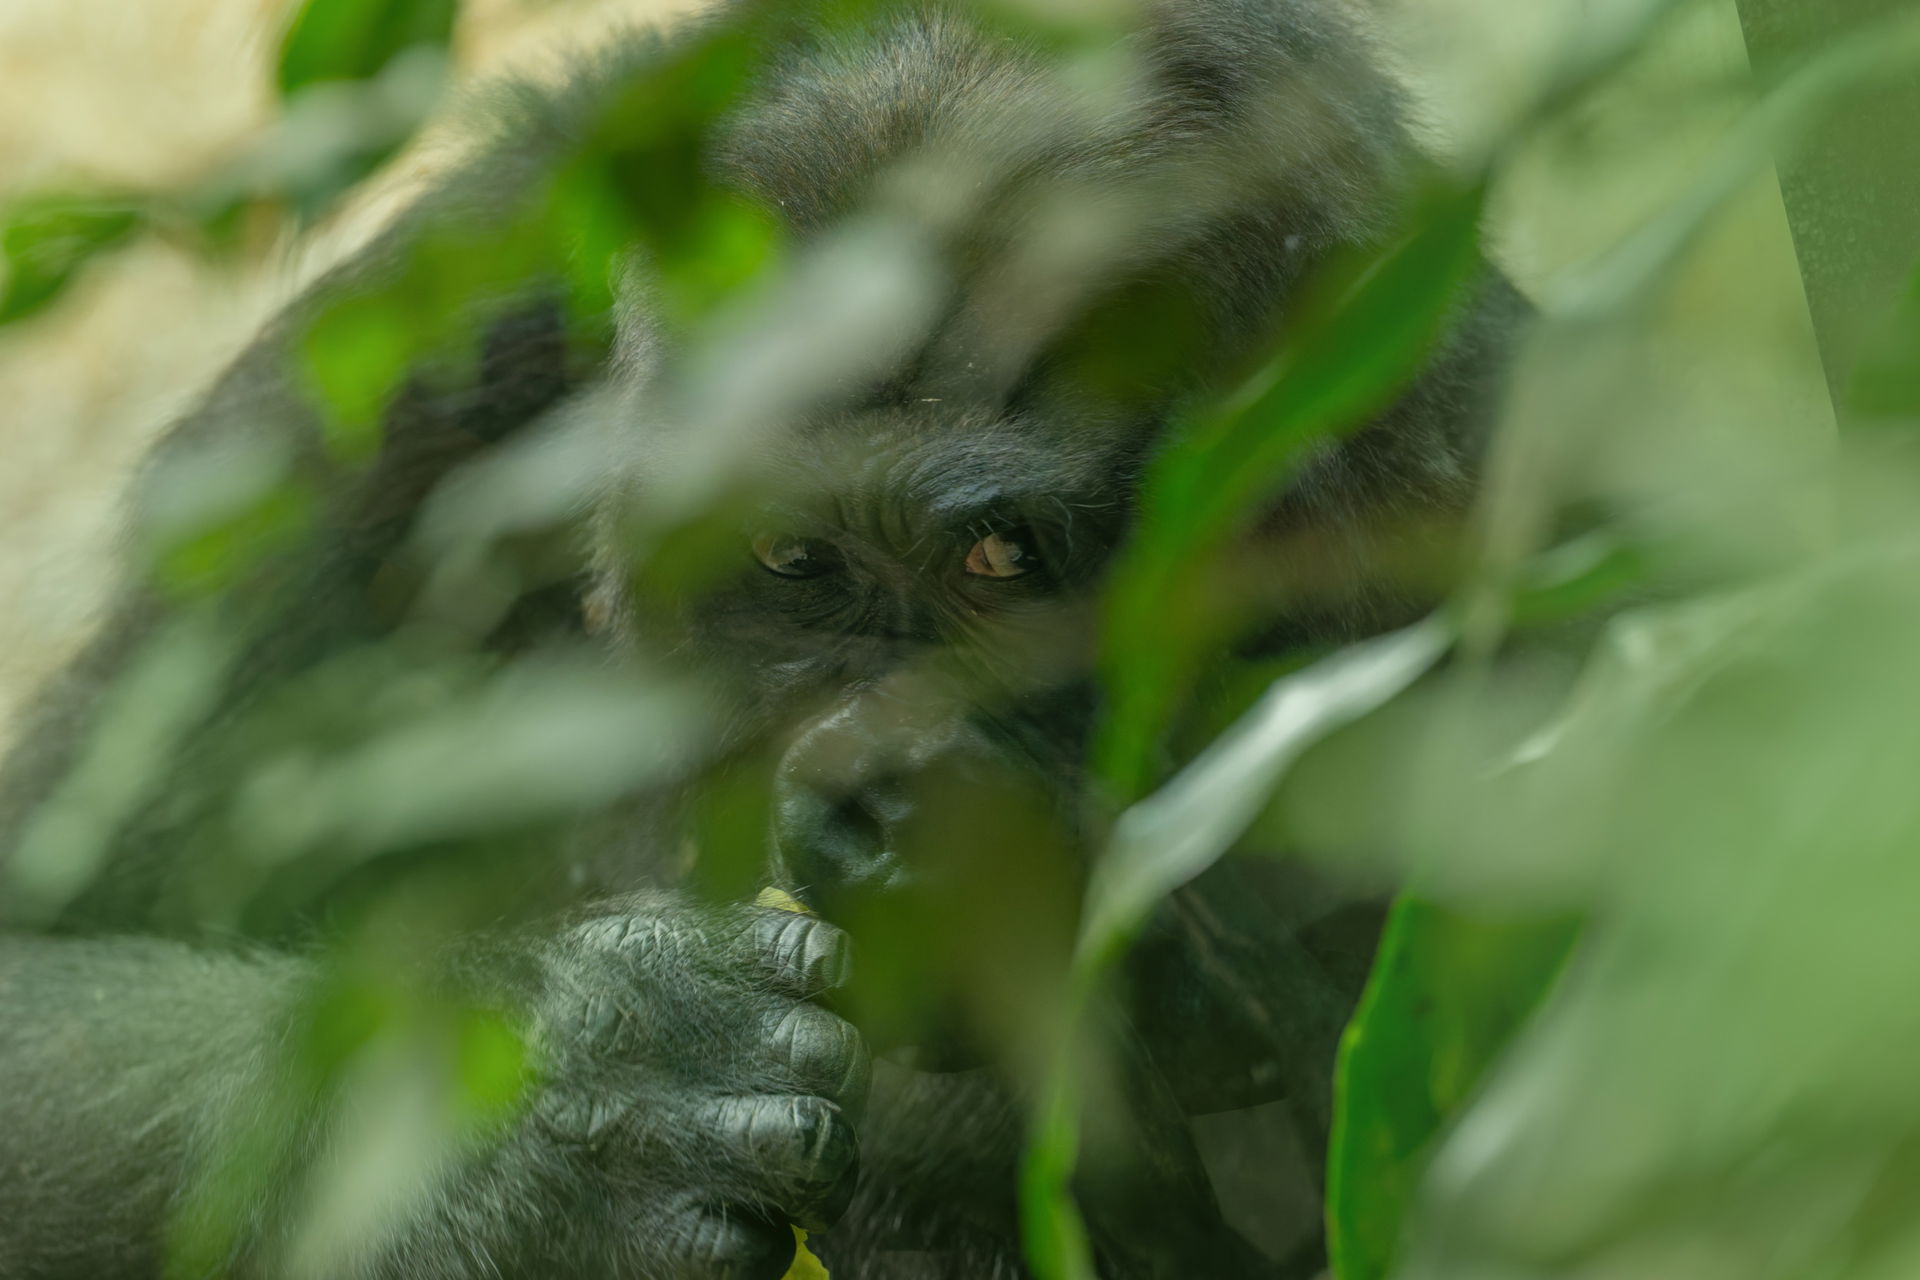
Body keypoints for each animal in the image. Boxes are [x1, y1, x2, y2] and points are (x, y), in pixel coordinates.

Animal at [0, 2, 1527, 1277]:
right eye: (793, 560)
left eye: (1000, 557)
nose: (853, 766)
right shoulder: (400, 390)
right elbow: (55, 946)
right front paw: (554, 1112)